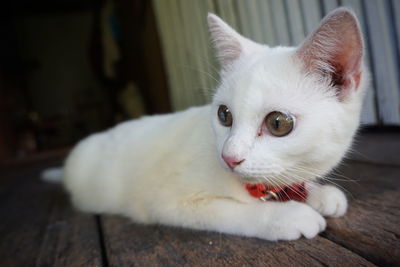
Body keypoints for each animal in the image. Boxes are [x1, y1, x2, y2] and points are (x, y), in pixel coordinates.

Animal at [54, 8, 368, 242]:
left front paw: (318, 192)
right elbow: (233, 211)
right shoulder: (165, 200)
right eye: (224, 115)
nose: (229, 157)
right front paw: (286, 215)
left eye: (278, 123)